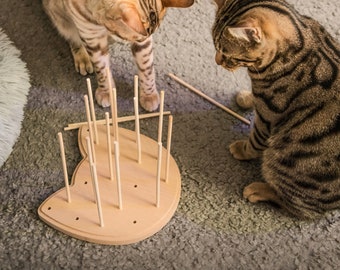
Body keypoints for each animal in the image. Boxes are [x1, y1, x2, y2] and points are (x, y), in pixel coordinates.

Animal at [43, 0, 194, 111]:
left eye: (147, 37)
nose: (146, 36)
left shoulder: (143, 43)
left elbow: (146, 68)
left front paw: (149, 95)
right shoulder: (92, 38)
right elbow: (102, 70)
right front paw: (107, 92)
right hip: (60, 17)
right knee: (72, 37)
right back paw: (83, 58)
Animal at [212, 0, 340, 218]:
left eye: (227, 54)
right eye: (214, 45)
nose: (216, 60)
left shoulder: (268, 117)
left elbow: (254, 142)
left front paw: (242, 150)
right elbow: (254, 98)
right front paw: (246, 97)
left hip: (284, 162)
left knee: (300, 209)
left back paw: (258, 190)